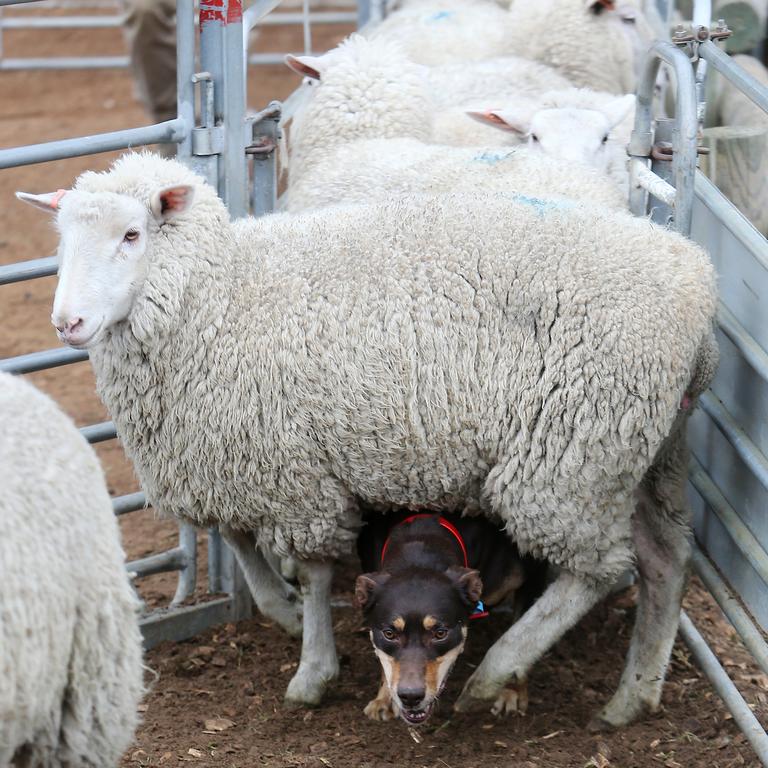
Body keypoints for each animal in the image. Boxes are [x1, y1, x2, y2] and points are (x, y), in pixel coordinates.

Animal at [354, 510, 544, 728]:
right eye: (389, 634)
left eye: (440, 633)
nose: (410, 696)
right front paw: (384, 698)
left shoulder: (530, 570)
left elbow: (524, 635)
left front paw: (511, 691)